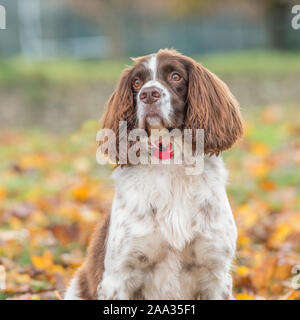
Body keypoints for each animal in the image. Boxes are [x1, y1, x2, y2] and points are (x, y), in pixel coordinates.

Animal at [64, 48, 243, 300]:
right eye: (137, 82)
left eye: (176, 76)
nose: (148, 94)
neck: (170, 162)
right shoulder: (120, 274)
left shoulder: (215, 272)